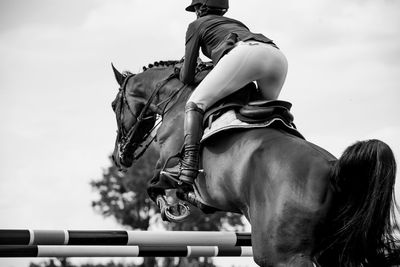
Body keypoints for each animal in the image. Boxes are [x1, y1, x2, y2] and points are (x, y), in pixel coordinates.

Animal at [110, 61, 400, 267]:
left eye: (114, 105)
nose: (119, 156)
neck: (177, 100)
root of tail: (333, 168)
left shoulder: (167, 163)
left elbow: (154, 185)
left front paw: (172, 208)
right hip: (329, 250)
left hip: (281, 255)